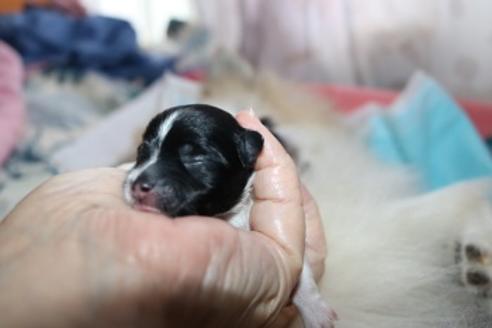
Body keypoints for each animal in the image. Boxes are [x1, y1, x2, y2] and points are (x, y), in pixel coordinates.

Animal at [125, 104, 336, 326]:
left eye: (197, 158)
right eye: (141, 150)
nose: (136, 186)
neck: (225, 215)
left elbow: (302, 274)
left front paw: (316, 313)